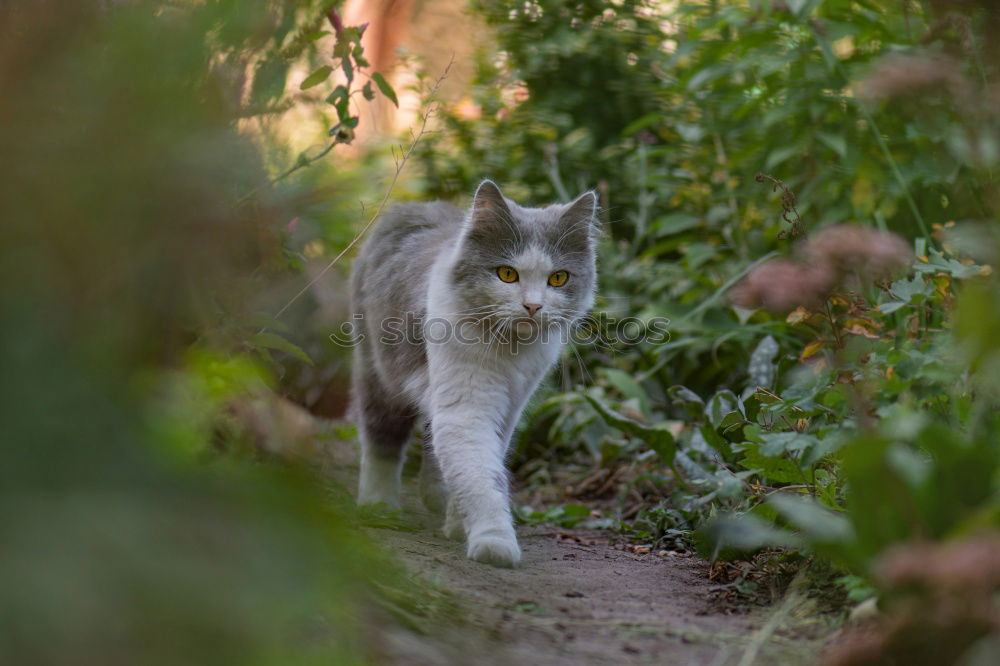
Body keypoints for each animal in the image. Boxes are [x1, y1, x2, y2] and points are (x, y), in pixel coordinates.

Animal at [352, 180, 596, 564]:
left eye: (558, 278)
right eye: (507, 274)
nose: (533, 306)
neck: (509, 350)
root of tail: (417, 205)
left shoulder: (511, 405)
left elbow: (481, 466)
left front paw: (457, 524)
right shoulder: (466, 406)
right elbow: (481, 474)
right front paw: (494, 541)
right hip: (378, 372)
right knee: (381, 440)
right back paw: (378, 506)